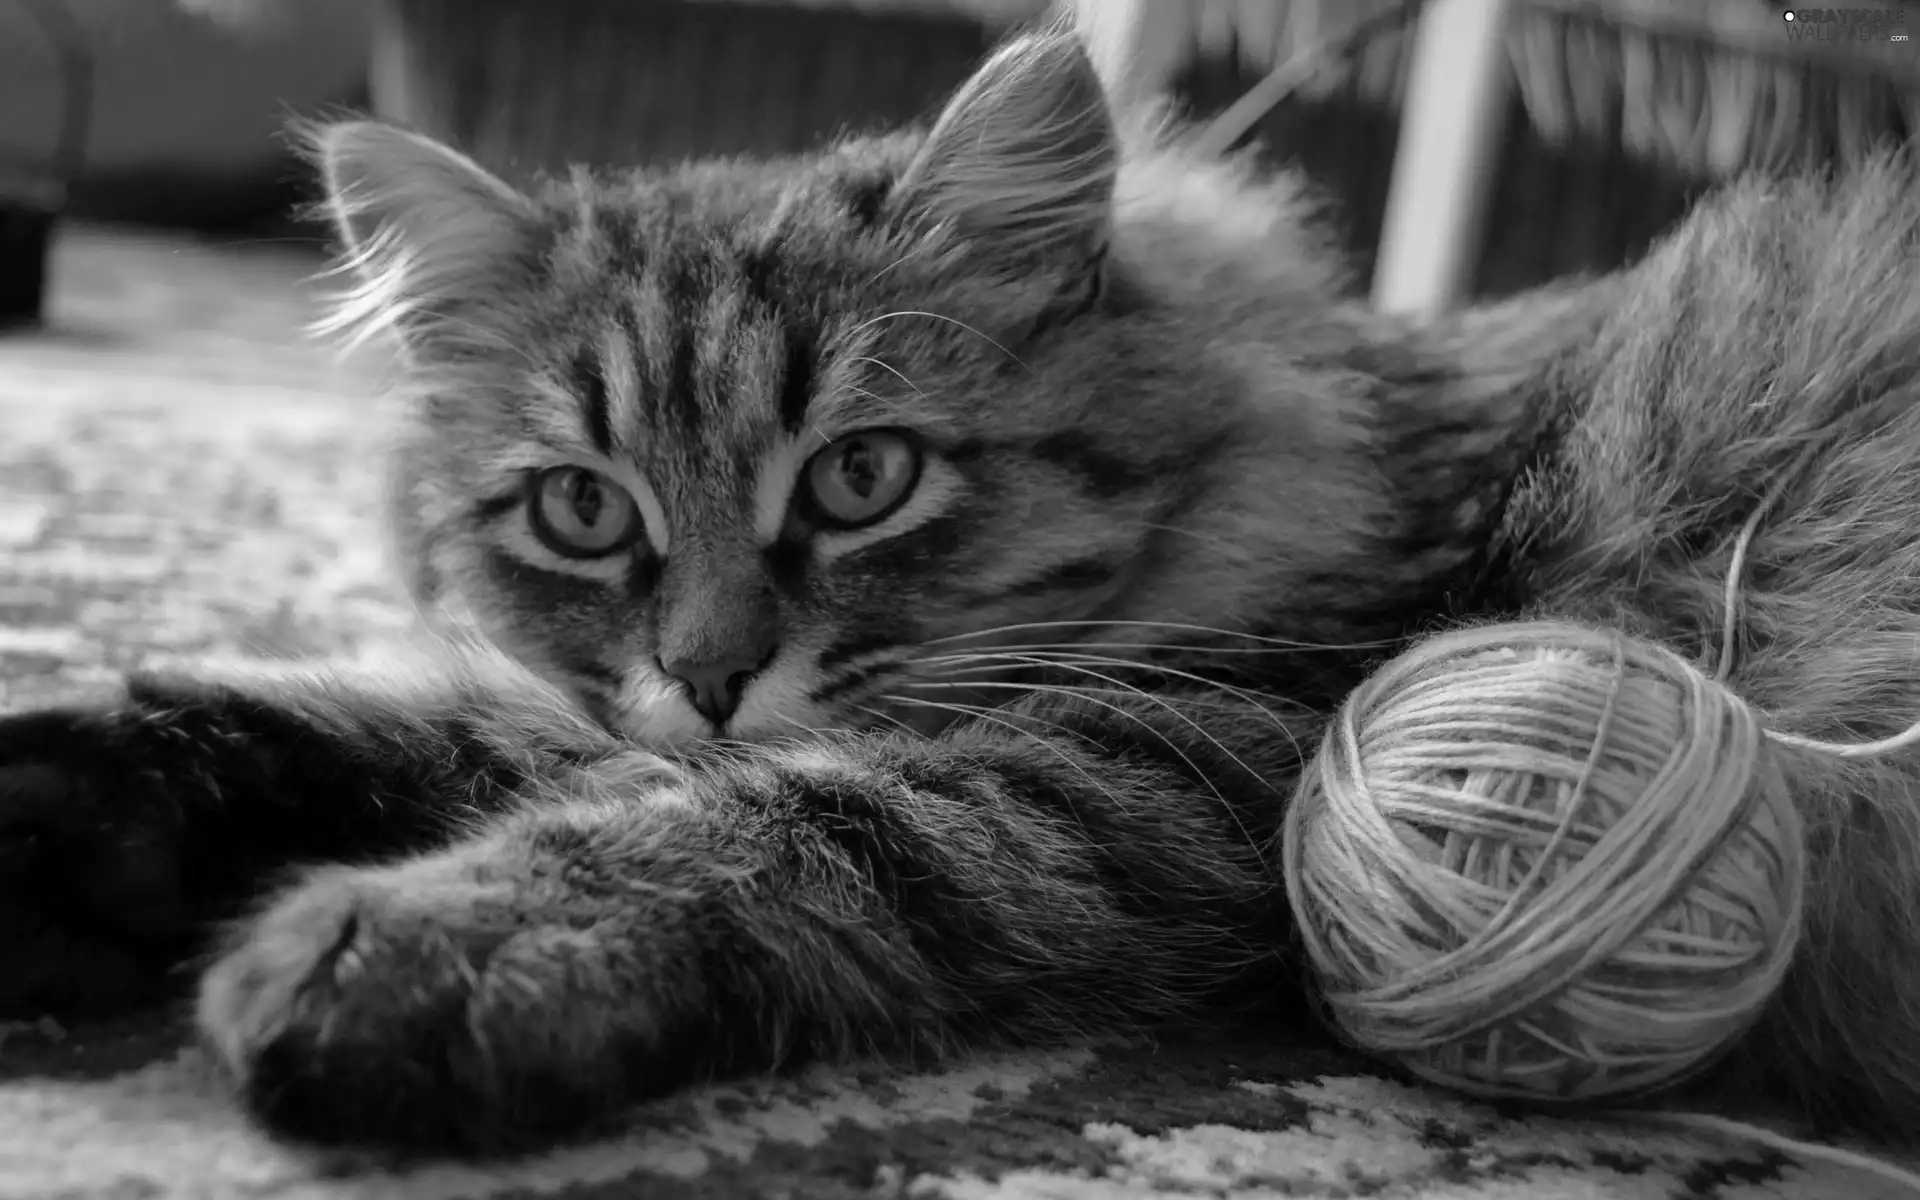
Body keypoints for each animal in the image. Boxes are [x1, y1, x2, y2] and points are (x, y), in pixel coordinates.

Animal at [3, 18, 1920, 1159]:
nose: (713, 670)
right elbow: (411, 725)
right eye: (582, 510)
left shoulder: (1207, 747)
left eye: (861, 479)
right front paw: (71, 794)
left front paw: (415, 946)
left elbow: (795, 818)